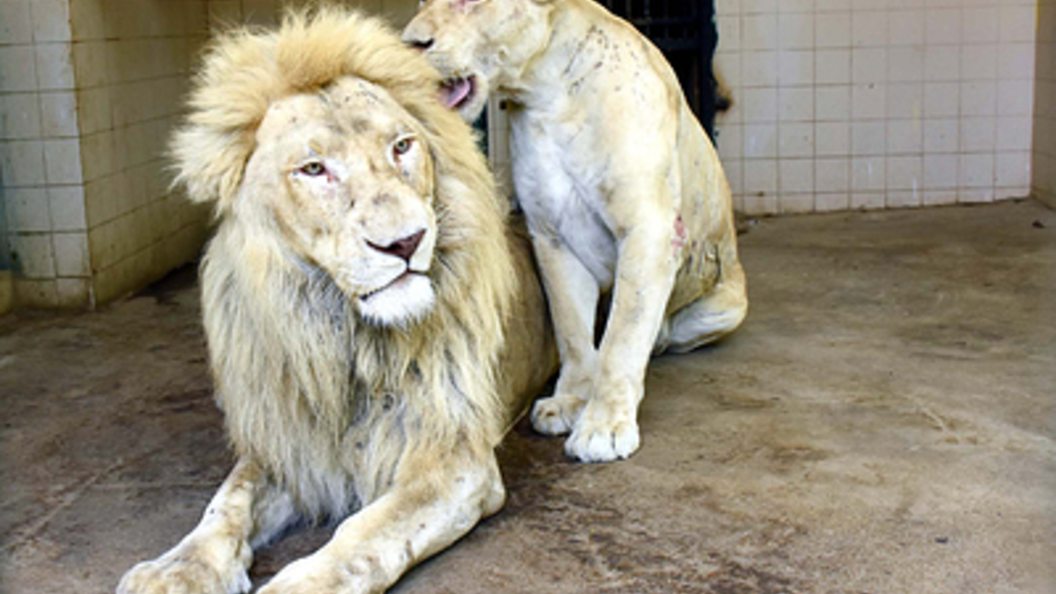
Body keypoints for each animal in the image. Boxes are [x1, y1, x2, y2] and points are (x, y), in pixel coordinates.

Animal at [118, 9, 557, 591]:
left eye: (402, 146)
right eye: (313, 170)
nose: (405, 243)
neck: (345, 340)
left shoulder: (452, 458)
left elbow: (364, 535)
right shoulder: (286, 441)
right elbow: (228, 501)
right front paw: (177, 569)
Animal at [403, 0, 751, 460]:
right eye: (422, 3)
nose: (410, 42)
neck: (545, 95)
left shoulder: (648, 229)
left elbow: (623, 336)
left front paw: (604, 425)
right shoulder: (552, 236)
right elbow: (570, 326)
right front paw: (571, 400)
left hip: (726, 305)